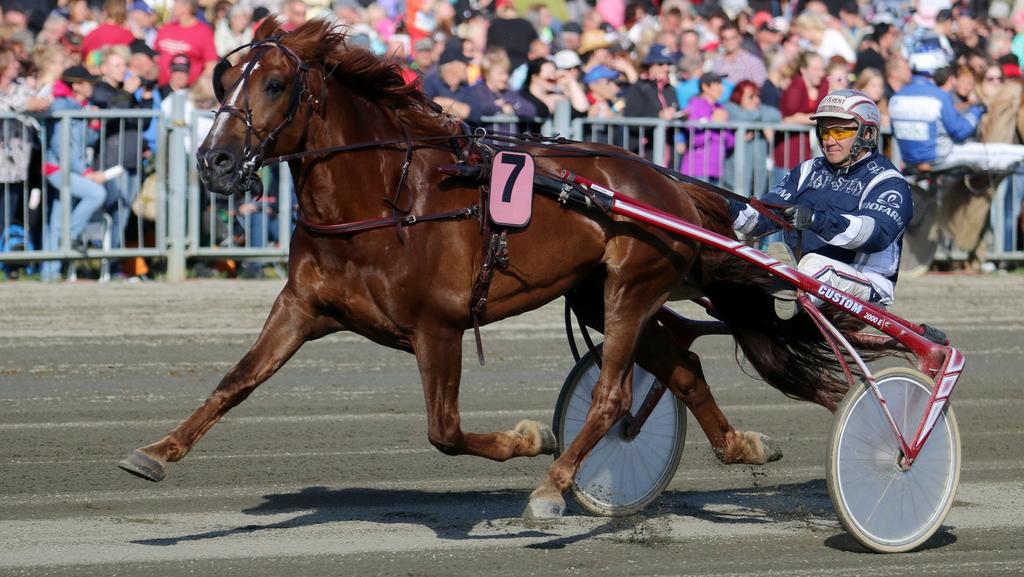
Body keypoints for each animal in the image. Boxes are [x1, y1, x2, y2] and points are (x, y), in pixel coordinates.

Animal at [117, 20, 856, 518]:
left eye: (274, 83)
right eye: (222, 80)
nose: (213, 160)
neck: (384, 203)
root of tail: (669, 185)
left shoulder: (438, 327)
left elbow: (444, 432)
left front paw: (530, 439)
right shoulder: (301, 308)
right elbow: (235, 381)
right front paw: (155, 451)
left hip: (631, 286)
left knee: (614, 394)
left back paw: (553, 487)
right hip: (603, 296)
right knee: (682, 366)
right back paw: (742, 446)